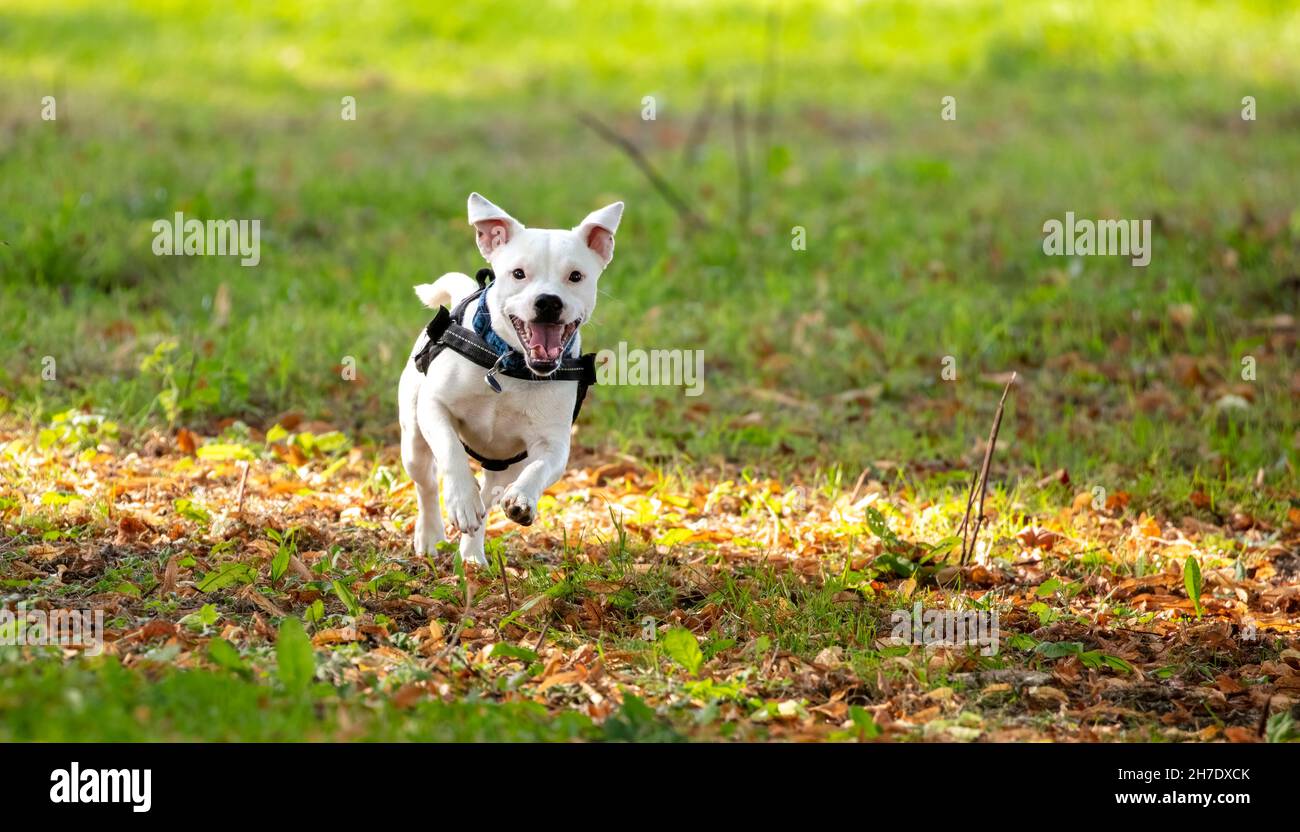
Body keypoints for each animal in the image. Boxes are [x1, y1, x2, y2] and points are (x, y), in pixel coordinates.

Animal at [392, 193, 621, 566]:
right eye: (518, 274)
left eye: (575, 276)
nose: (548, 301)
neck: (510, 365)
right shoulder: (434, 407)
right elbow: (450, 450)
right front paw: (461, 498)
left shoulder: (553, 443)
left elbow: (541, 467)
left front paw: (523, 499)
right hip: (413, 439)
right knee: (426, 482)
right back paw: (430, 535)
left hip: (504, 466)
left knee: (488, 501)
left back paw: (472, 555)